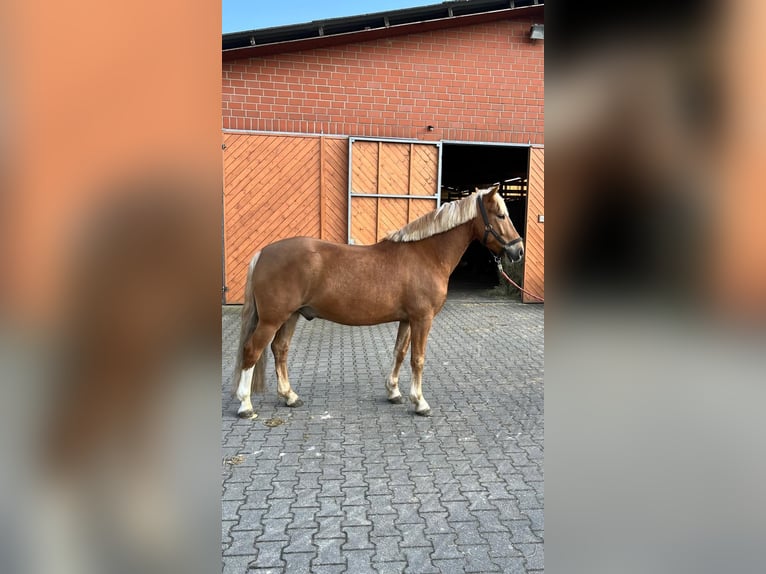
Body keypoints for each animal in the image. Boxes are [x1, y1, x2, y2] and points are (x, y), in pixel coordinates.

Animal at [230, 185, 524, 417]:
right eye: (501, 215)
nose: (518, 251)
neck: (426, 254)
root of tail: (263, 252)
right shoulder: (422, 319)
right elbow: (418, 358)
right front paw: (420, 402)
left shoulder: (408, 319)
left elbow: (400, 353)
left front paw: (394, 392)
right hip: (272, 319)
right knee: (252, 351)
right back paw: (245, 406)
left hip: (290, 316)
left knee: (279, 350)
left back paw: (290, 397)